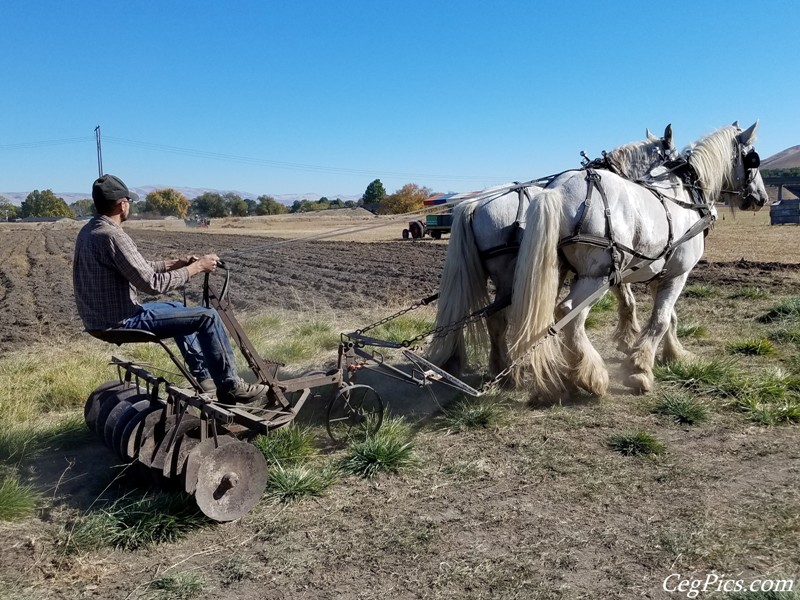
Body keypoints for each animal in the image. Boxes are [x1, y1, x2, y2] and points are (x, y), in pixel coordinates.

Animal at [424, 126, 676, 378]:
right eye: (672, 156)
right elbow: (626, 300)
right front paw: (627, 341)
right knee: (499, 317)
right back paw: (507, 369)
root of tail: (474, 203)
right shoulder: (608, 266)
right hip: (508, 277)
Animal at [510, 122, 772, 400]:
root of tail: (558, 190)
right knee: (570, 313)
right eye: (753, 159)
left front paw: (673, 353)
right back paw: (592, 375)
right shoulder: (679, 273)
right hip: (596, 277)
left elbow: (667, 316)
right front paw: (640, 369)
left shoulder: (661, 273)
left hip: (556, 271)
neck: (688, 196)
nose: (761, 198)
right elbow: (661, 319)